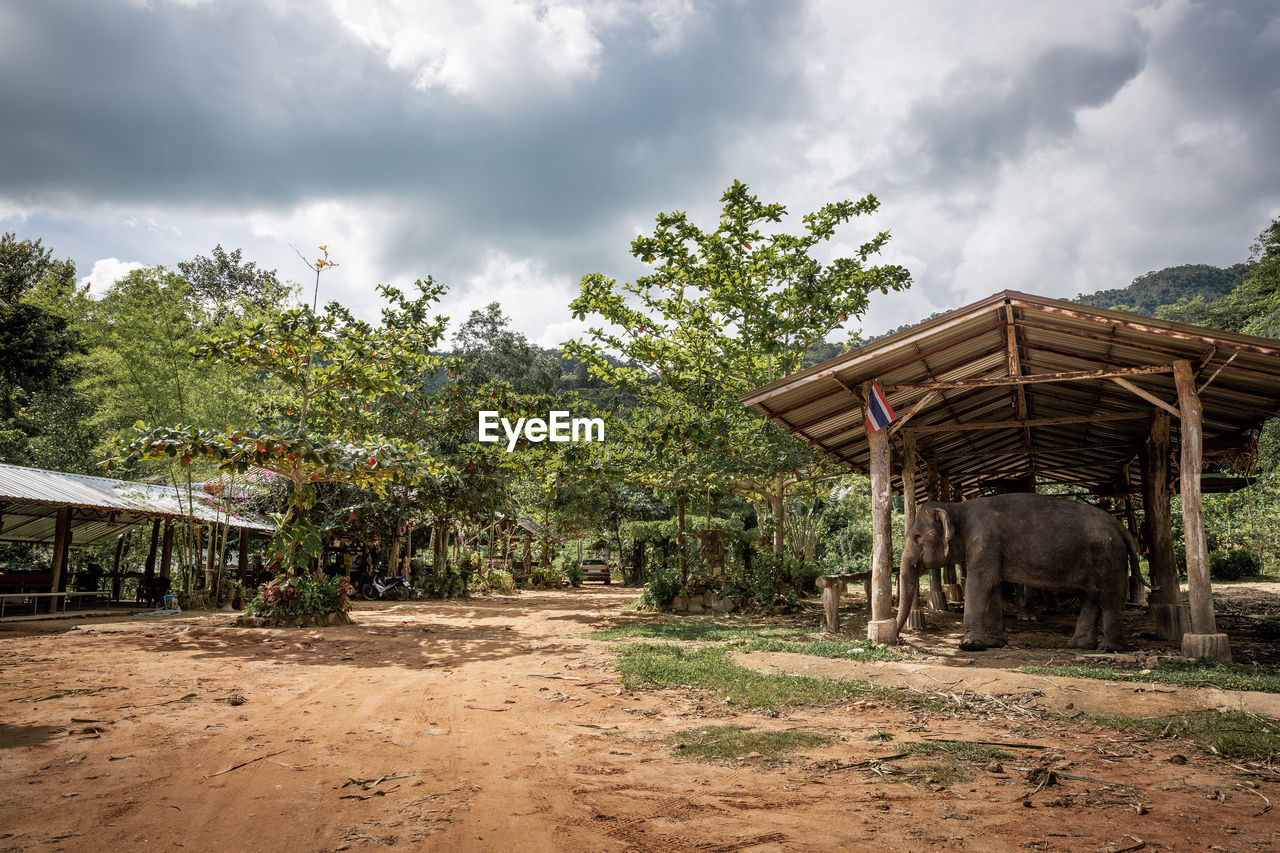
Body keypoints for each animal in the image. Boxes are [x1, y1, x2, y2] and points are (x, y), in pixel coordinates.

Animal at [901, 489, 1141, 648]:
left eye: (916, 537)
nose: (899, 638)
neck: (957, 507)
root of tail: (1119, 526)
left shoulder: (984, 540)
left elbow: (980, 582)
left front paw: (970, 645)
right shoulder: (989, 549)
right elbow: (993, 585)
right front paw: (995, 643)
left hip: (1109, 557)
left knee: (1109, 598)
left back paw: (1108, 648)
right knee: (1090, 597)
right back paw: (1079, 646)